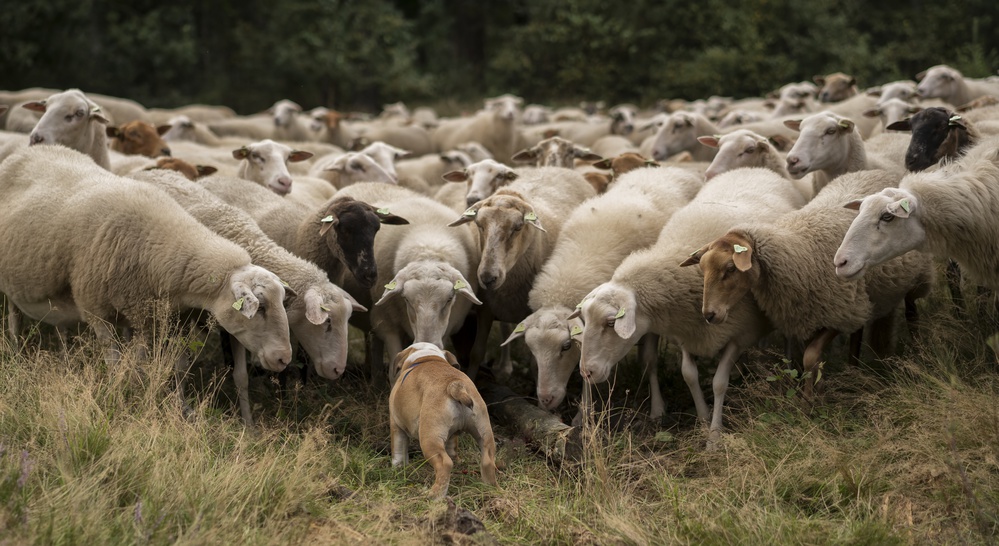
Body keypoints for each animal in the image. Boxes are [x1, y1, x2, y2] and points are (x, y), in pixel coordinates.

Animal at [390, 342, 500, 496]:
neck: (426, 356)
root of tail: (455, 386)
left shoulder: (396, 425)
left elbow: (399, 450)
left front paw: (398, 468)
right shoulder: (452, 435)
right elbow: (452, 446)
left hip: (430, 438)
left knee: (444, 464)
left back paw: (434, 495)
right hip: (484, 431)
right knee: (488, 461)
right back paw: (492, 489)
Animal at [576, 167, 800, 446]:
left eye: (610, 323)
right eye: (585, 321)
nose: (586, 372)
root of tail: (754, 169)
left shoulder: (739, 333)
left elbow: (719, 383)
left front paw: (714, 436)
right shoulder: (685, 332)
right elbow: (688, 374)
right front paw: (702, 418)